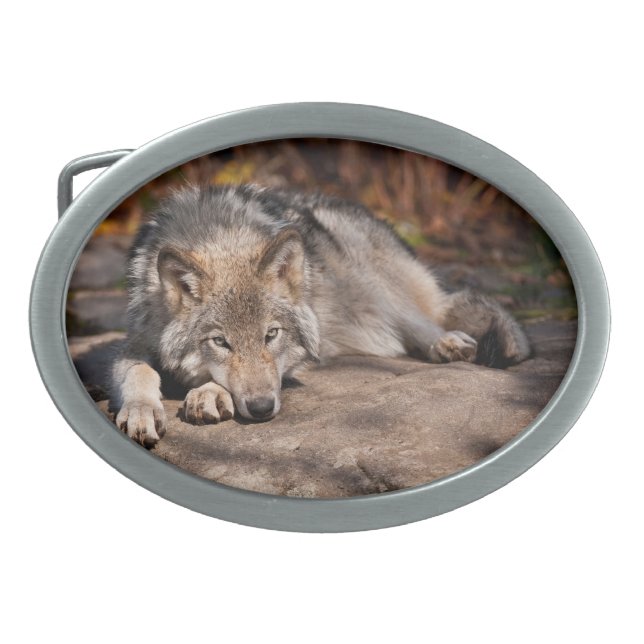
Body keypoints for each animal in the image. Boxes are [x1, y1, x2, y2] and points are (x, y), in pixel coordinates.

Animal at [111, 184, 530, 446]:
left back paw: (447, 344)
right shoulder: (133, 341)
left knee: (427, 318)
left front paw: (208, 393)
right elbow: (138, 370)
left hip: (373, 284)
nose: (262, 409)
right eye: (220, 342)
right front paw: (141, 411)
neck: (220, 236)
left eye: (271, 335)